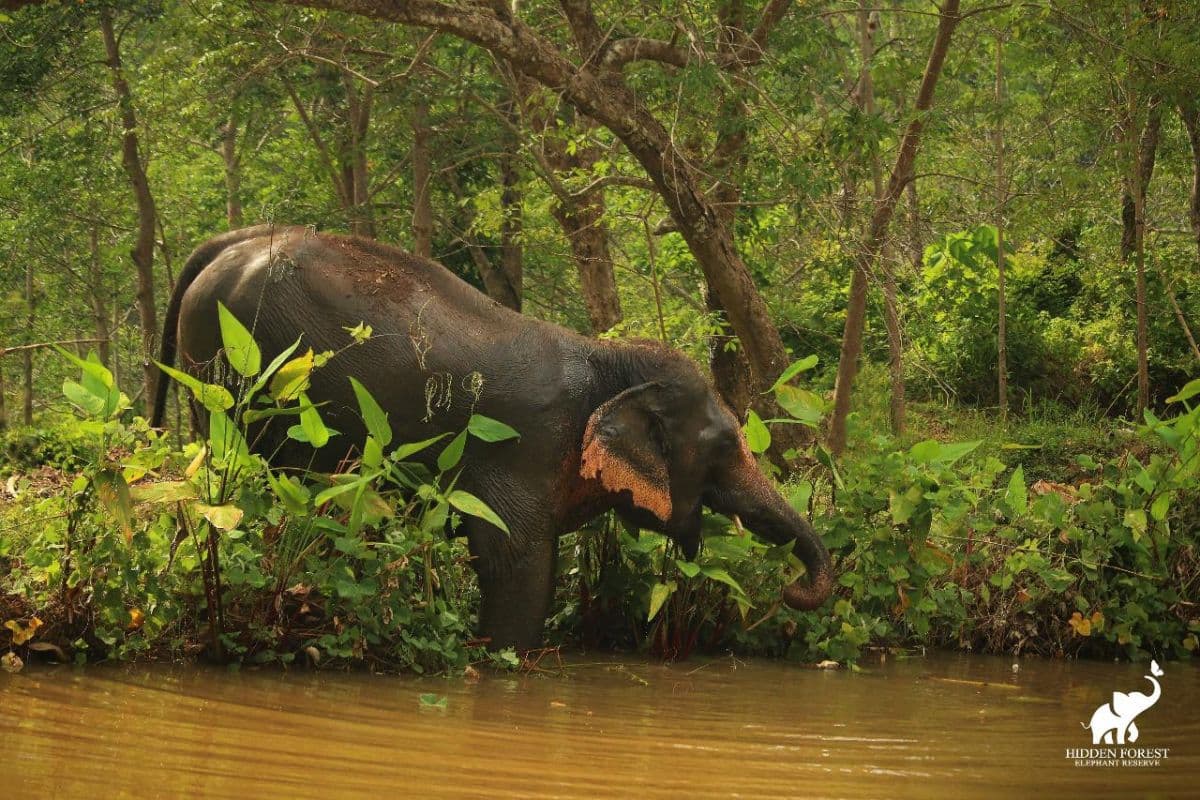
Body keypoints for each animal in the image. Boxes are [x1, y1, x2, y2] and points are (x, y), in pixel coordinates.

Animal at [151, 224, 834, 650]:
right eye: (722, 447)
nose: (791, 589)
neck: (606, 362)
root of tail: (226, 244)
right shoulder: (523, 451)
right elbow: (516, 563)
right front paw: (500, 657)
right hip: (235, 373)